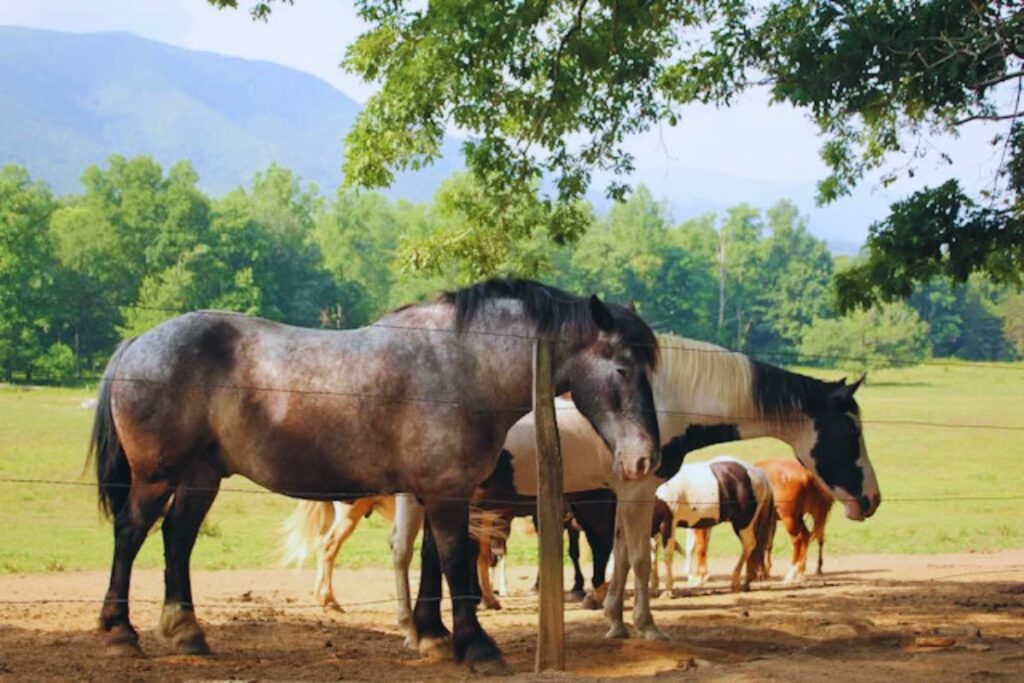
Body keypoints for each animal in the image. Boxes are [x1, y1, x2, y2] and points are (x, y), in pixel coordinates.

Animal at [88, 274, 663, 671]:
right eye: (622, 368)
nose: (645, 460)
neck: (463, 364)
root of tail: (136, 344)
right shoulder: (448, 493)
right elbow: (456, 563)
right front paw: (478, 647)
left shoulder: (435, 490)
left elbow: (432, 561)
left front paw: (434, 637)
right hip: (156, 477)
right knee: (132, 533)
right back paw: (121, 632)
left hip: (201, 477)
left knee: (177, 538)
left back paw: (186, 631)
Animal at [651, 458, 770, 593]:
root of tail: (759, 473)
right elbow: (653, 555)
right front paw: (653, 585)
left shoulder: (668, 524)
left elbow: (667, 556)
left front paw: (668, 589)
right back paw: (746, 581)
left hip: (743, 522)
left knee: (749, 545)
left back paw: (735, 581)